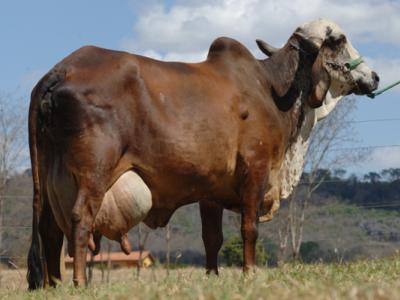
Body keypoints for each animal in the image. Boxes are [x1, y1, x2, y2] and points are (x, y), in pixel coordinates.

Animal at [27, 19, 378, 288]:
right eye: (339, 39)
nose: (374, 76)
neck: (272, 88)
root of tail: (60, 71)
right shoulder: (255, 169)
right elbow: (249, 229)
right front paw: (248, 275)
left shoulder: (211, 191)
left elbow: (213, 238)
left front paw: (213, 277)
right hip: (95, 172)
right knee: (79, 219)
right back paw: (79, 283)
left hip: (49, 177)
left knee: (49, 229)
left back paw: (53, 286)